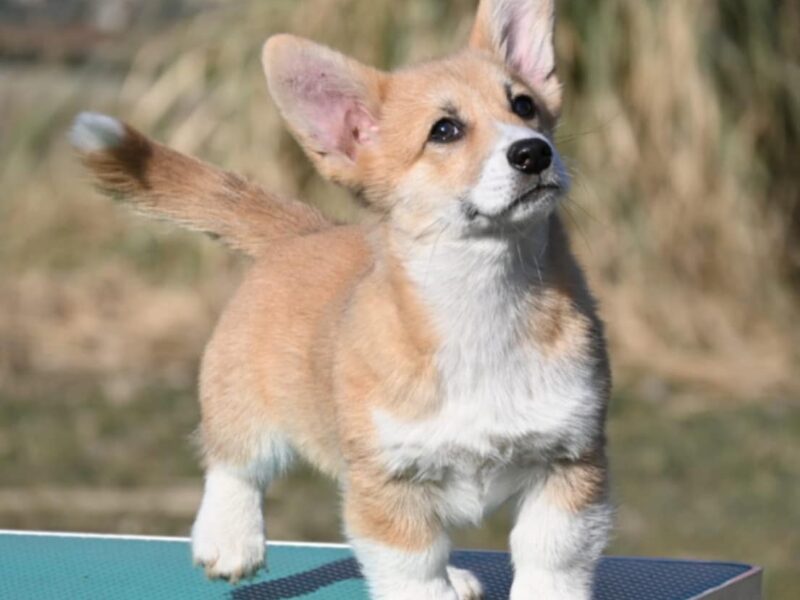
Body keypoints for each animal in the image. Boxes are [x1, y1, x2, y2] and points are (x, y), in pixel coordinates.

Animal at [72, 1, 612, 600]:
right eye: (444, 131)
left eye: (524, 105)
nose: (534, 152)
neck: (483, 299)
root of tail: (306, 230)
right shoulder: (385, 486)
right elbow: (414, 576)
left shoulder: (569, 467)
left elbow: (549, 562)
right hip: (243, 395)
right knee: (233, 461)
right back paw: (229, 537)